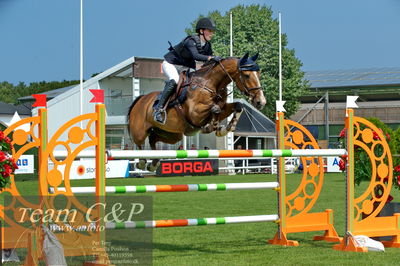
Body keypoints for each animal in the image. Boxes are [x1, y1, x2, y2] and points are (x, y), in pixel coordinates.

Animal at [128, 52, 266, 170]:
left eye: (259, 74)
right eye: (247, 75)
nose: (261, 102)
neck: (211, 83)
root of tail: (140, 99)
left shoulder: (223, 108)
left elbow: (237, 106)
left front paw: (225, 128)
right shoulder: (194, 113)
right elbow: (214, 109)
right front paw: (213, 127)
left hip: (172, 134)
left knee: (152, 139)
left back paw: (154, 163)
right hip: (140, 131)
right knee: (139, 143)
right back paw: (142, 162)